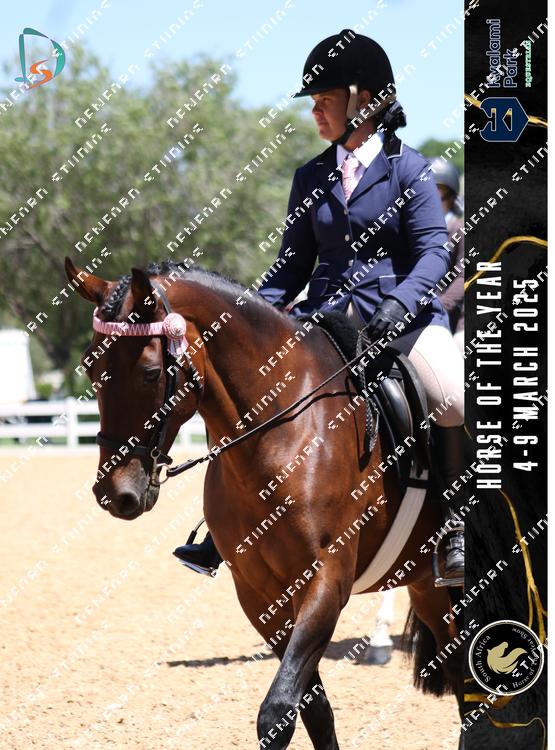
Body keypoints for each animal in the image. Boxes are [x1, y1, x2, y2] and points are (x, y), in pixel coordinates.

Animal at [65, 257, 464, 749]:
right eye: (90, 369)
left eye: (151, 373)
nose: (115, 494)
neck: (281, 431)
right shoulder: (260, 595)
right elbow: (311, 709)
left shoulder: (327, 579)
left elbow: (276, 712)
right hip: (429, 586)